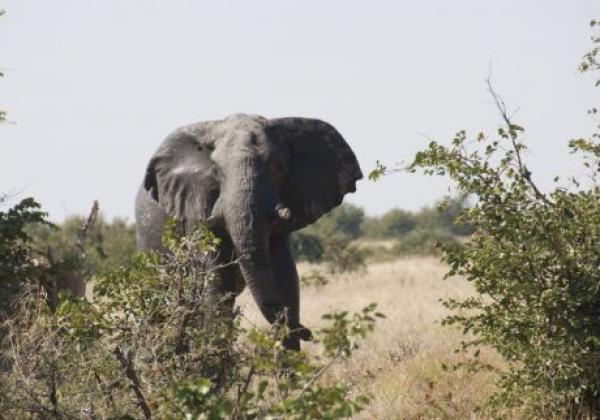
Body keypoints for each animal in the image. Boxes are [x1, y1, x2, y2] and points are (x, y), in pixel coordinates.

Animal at [136, 113, 360, 350]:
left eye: (279, 168)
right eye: (216, 171)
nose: (309, 333)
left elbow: (285, 274)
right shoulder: (197, 201)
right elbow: (216, 277)